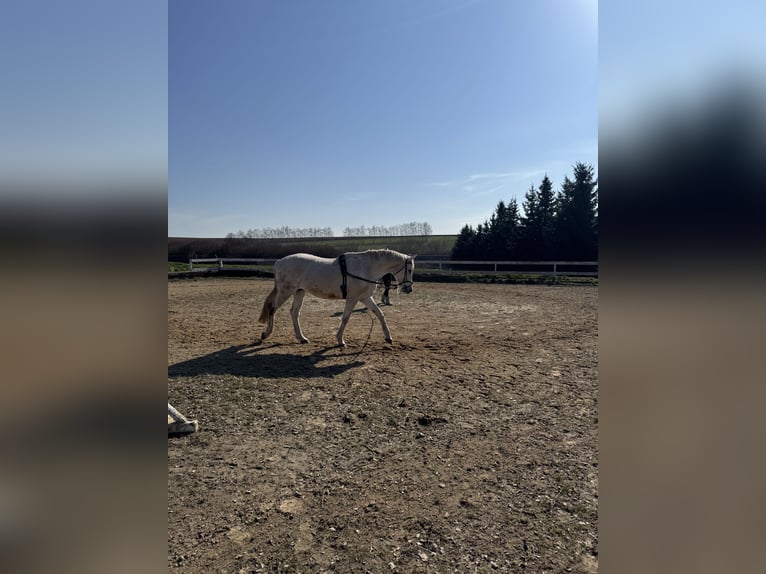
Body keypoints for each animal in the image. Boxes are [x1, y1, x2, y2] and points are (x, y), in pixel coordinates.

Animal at [258, 249, 415, 347]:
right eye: (409, 269)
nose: (409, 289)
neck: (365, 268)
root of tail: (279, 261)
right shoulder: (353, 298)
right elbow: (345, 318)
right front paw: (340, 340)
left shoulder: (365, 298)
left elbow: (380, 314)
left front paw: (388, 337)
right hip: (286, 291)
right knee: (273, 308)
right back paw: (266, 334)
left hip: (299, 291)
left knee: (294, 312)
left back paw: (301, 338)